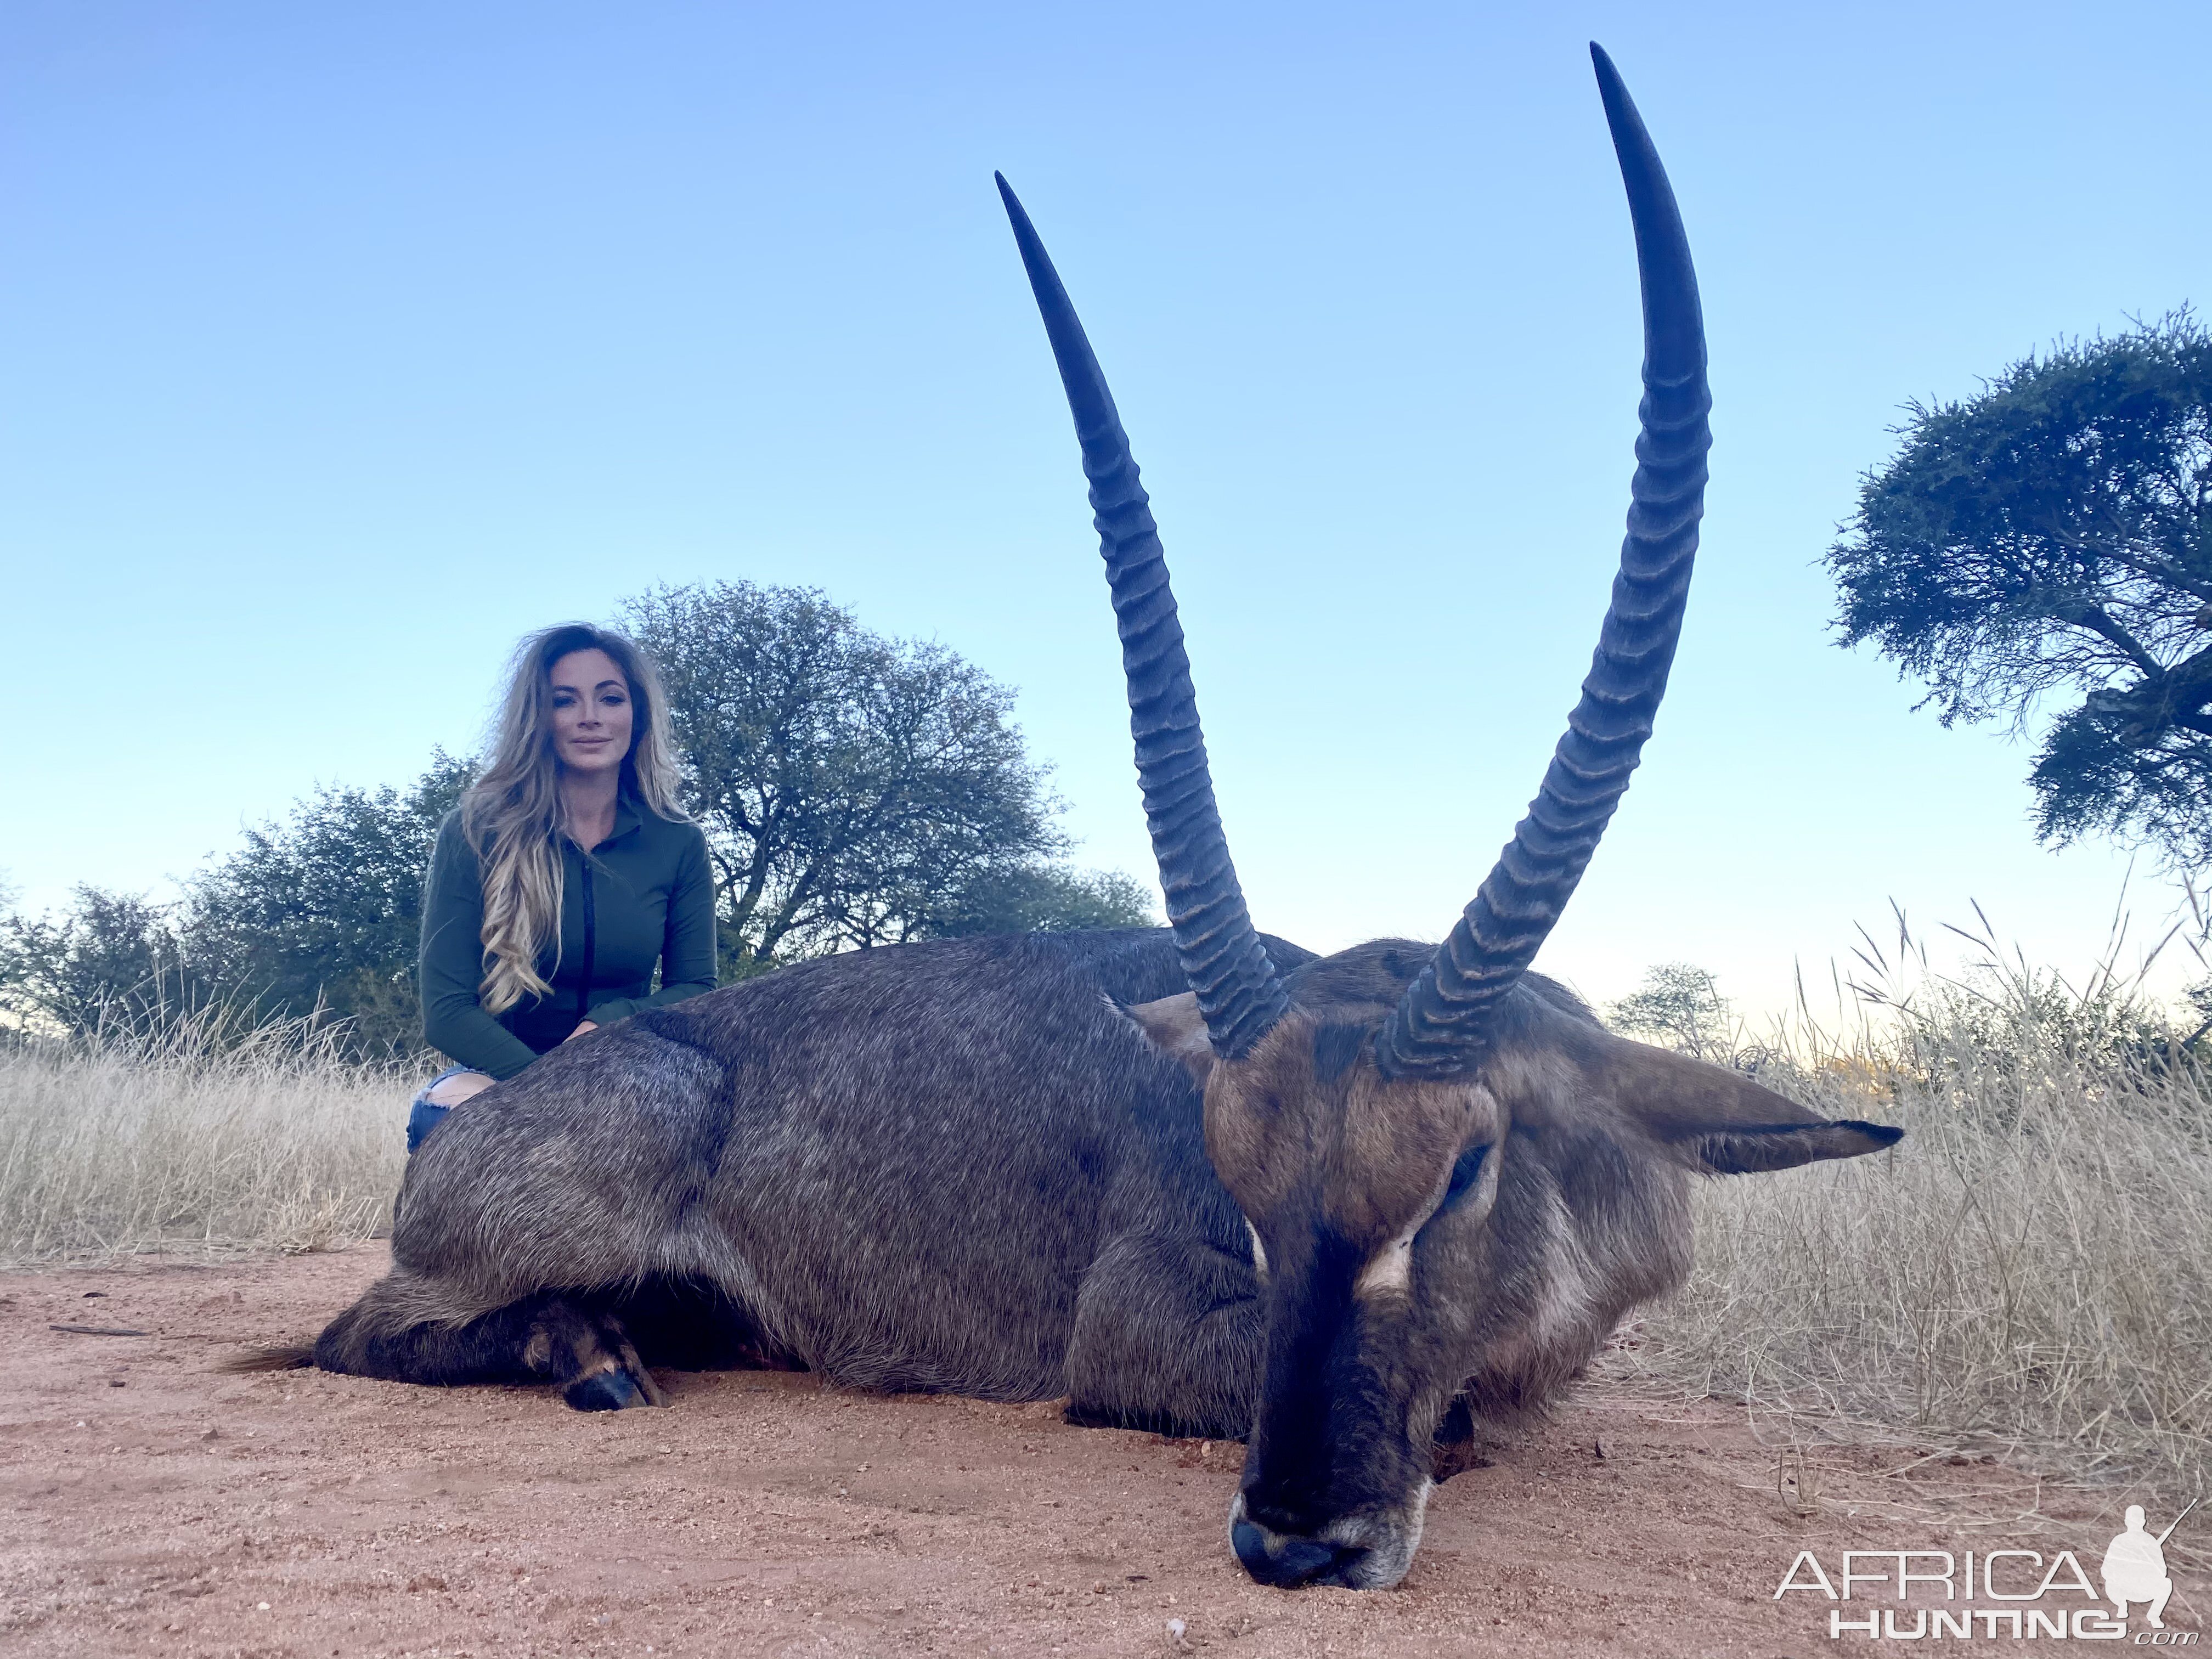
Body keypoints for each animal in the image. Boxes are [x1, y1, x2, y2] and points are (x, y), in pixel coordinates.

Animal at [272, 45, 1902, 1593]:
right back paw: (592, 1358)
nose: (1292, 1540)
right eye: (1238, 1184)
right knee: (358, 1330)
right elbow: (1465, 1424)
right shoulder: (1133, 1323)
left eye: (1465, 1167)